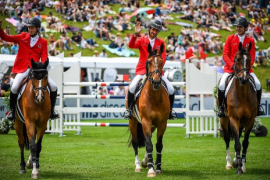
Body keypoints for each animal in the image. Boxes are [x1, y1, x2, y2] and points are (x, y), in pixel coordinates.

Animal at [127, 43, 170, 177]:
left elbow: (158, 145)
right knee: (136, 142)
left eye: (161, 62)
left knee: (147, 140)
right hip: (133, 121)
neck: (154, 96)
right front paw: (151, 170)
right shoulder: (146, 121)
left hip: (153, 126)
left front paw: (158, 168)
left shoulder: (162, 123)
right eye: (149, 62)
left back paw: (145, 162)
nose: (156, 82)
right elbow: (149, 145)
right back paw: (138, 166)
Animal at [217, 42, 258, 174]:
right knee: (227, 139)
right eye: (237, 59)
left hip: (241, 122)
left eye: (249, 59)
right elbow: (237, 144)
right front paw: (239, 169)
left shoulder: (250, 120)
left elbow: (244, 143)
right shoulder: (233, 118)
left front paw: (242, 165)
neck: (242, 94)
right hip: (224, 119)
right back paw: (229, 163)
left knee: (238, 136)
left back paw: (236, 161)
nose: (244, 78)